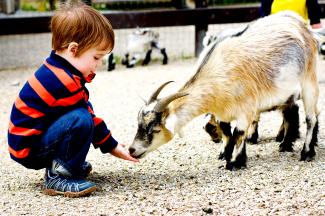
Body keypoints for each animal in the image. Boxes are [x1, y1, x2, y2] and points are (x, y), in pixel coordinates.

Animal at [128, 11, 318, 170]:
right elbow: (227, 133)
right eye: (138, 125)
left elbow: (239, 133)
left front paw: (235, 163)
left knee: (310, 117)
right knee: (294, 113)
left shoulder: (246, 109)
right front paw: (225, 154)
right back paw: (291, 144)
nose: (131, 150)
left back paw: (306, 152)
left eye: (155, 129)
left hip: (309, 78)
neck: (218, 73)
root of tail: (298, 22)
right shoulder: (221, 113)